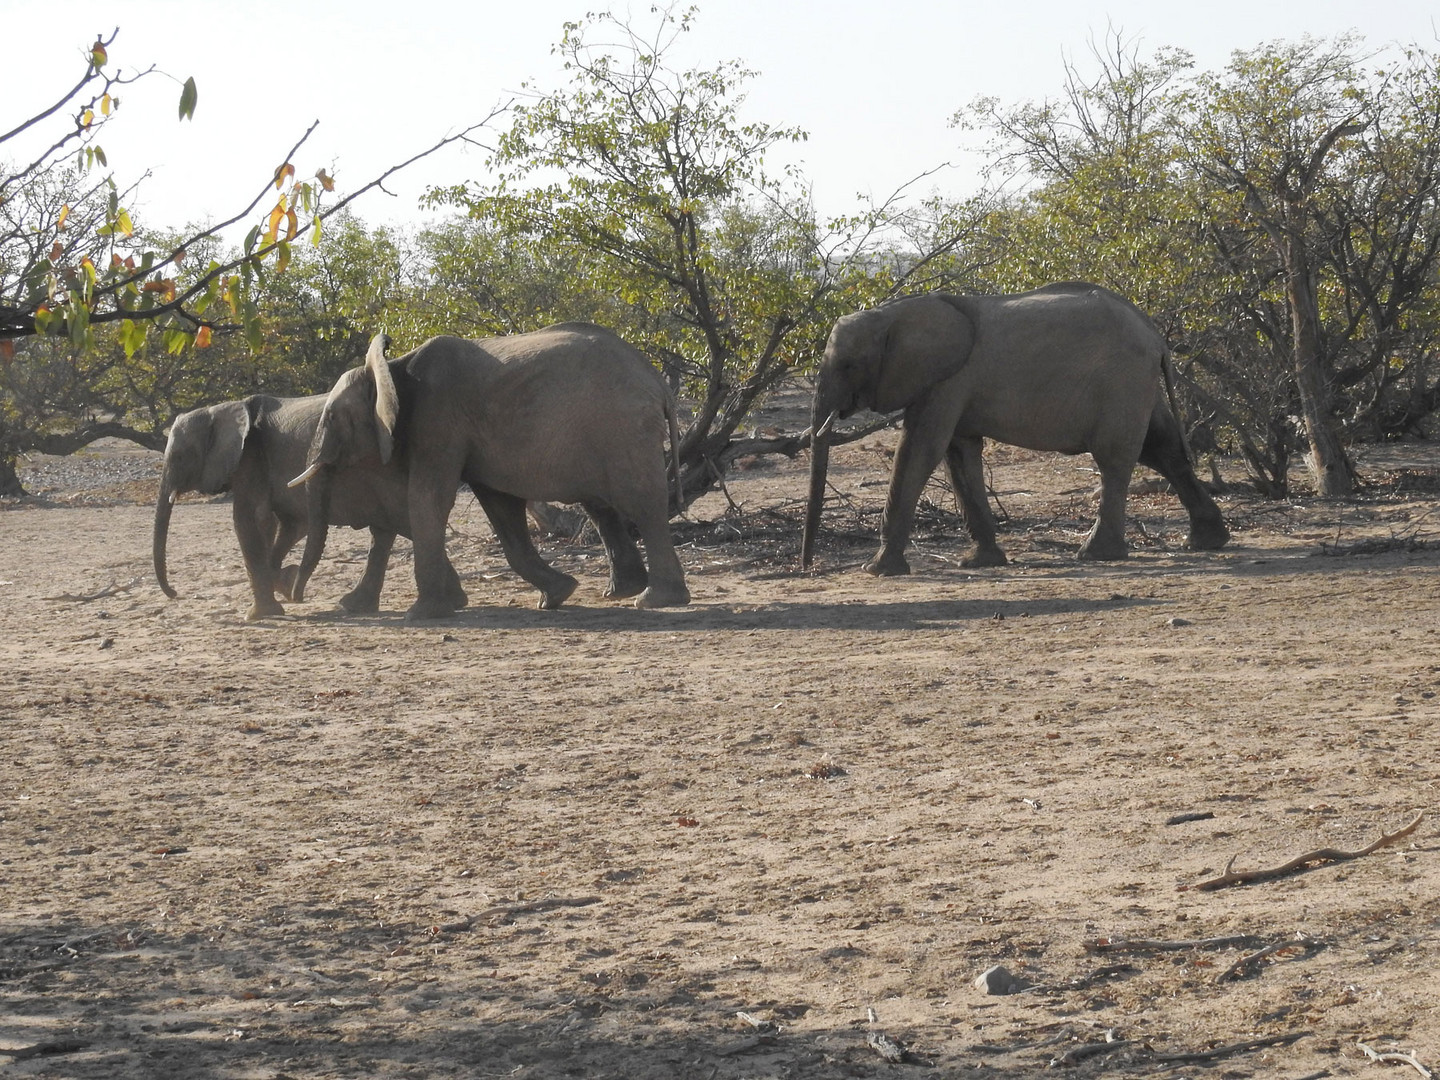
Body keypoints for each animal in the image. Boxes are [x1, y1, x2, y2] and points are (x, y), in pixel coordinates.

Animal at [153, 394, 411, 622]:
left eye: (179, 456)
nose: (174, 593)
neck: (222, 408)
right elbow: (287, 525)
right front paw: (286, 582)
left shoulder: (251, 457)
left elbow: (251, 518)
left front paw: (258, 614)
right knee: (382, 534)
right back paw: (353, 606)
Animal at [286, 325, 691, 622]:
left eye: (332, 417)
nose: (295, 595)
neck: (393, 367)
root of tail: (659, 383)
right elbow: (501, 509)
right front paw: (556, 597)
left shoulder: (439, 418)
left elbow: (428, 498)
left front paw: (422, 615)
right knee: (601, 505)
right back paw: (620, 592)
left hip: (624, 427)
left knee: (643, 504)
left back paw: (654, 600)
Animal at [800, 285, 1226, 576]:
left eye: (848, 365)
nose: (806, 566)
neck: (894, 311)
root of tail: (1155, 336)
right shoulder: (951, 386)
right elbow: (959, 454)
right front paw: (980, 562)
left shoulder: (948, 380)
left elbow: (921, 449)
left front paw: (877, 569)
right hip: (1138, 385)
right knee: (1163, 450)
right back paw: (1207, 542)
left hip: (1123, 381)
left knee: (1115, 460)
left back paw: (1095, 553)